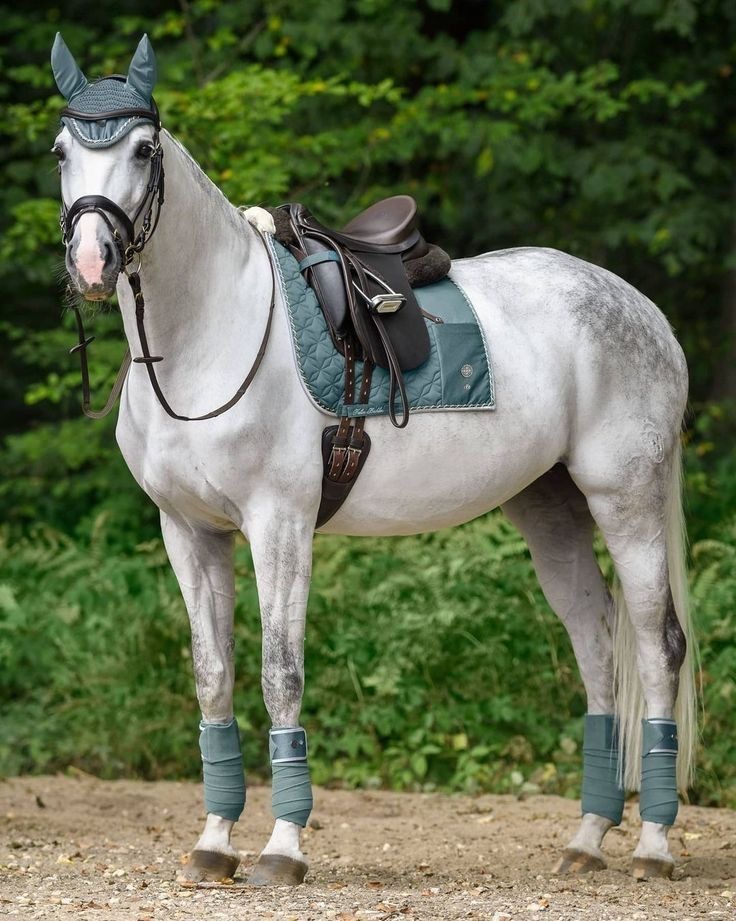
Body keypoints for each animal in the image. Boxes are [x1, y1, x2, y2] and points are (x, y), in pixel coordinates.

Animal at [50, 33, 697, 887]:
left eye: (143, 149)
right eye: (62, 151)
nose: (93, 261)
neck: (209, 332)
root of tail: (644, 309)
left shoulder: (280, 526)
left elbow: (280, 673)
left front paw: (282, 848)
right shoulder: (188, 531)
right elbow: (213, 676)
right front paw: (215, 841)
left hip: (626, 499)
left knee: (656, 648)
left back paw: (652, 844)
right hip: (549, 509)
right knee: (596, 646)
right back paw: (588, 837)